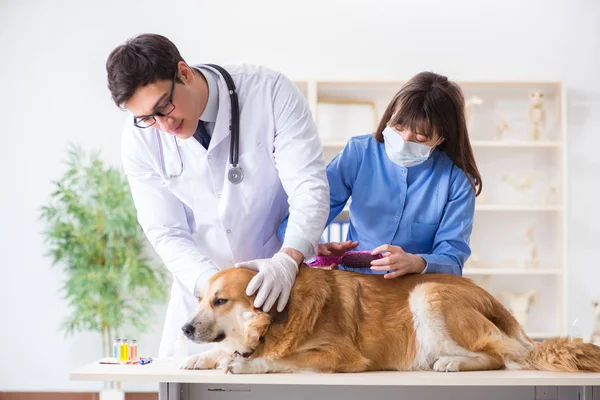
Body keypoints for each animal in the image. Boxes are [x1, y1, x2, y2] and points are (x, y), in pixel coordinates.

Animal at [178, 266, 600, 376]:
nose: (185, 328)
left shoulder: (341, 356)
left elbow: (282, 359)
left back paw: (451, 363)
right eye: (199, 299)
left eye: (220, 300)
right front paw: (202, 357)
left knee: (497, 357)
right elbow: (226, 349)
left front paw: (245, 364)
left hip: (427, 293)